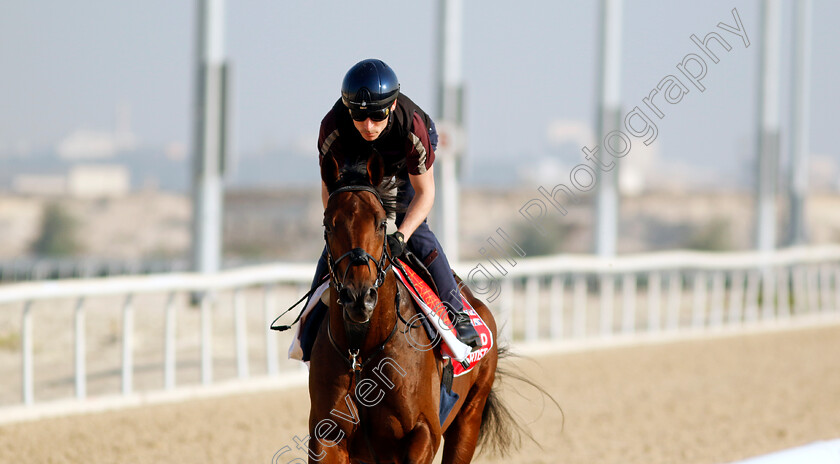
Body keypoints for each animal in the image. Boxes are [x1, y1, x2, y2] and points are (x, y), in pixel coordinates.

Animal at [306, 150, 520, 462]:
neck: (363, 351)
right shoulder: (326, 435)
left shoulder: (423, 432)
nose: (359, 297)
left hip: (469, 417)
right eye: (328, 225)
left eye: (381, 223)